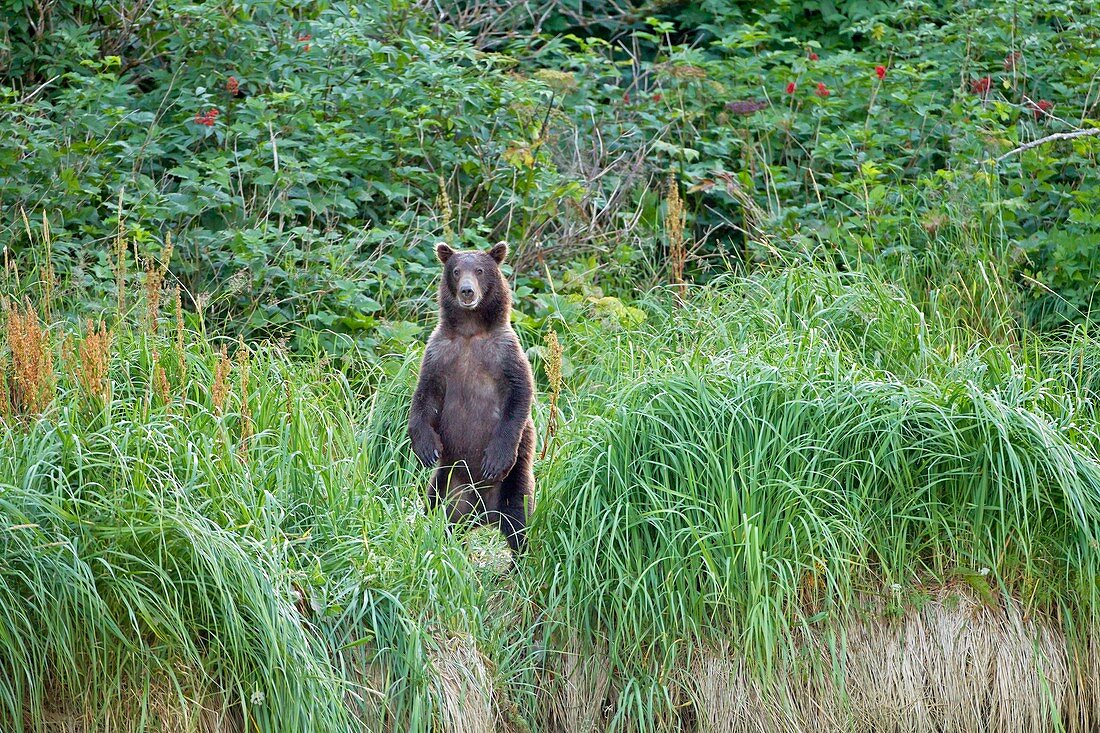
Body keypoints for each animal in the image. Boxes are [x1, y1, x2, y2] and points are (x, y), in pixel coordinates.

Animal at [409, 242, 536, 550]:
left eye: (479, 270)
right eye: (456, 271)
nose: (467, 291)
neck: (470, 330)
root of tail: (483, 516)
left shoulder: (504, 353)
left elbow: (520, 395)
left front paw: (494, 460)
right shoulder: (439, 353)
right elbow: (424, 397)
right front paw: (426, 449)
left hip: (514, 480)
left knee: (519, 519)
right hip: (448, 484)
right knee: (438, 513)